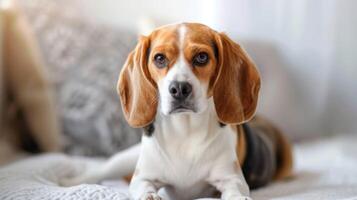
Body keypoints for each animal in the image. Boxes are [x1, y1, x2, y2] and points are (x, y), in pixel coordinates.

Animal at [62, 22, 292, 200]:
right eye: (159, 58)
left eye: (202, 57)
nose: (179, 88)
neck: (184, 131)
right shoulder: (143, 177)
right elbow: (142, 186)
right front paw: (149, 196)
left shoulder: (231, 178)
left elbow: (235, 190)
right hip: (126, 158)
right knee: (98, 171)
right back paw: (68, 180)